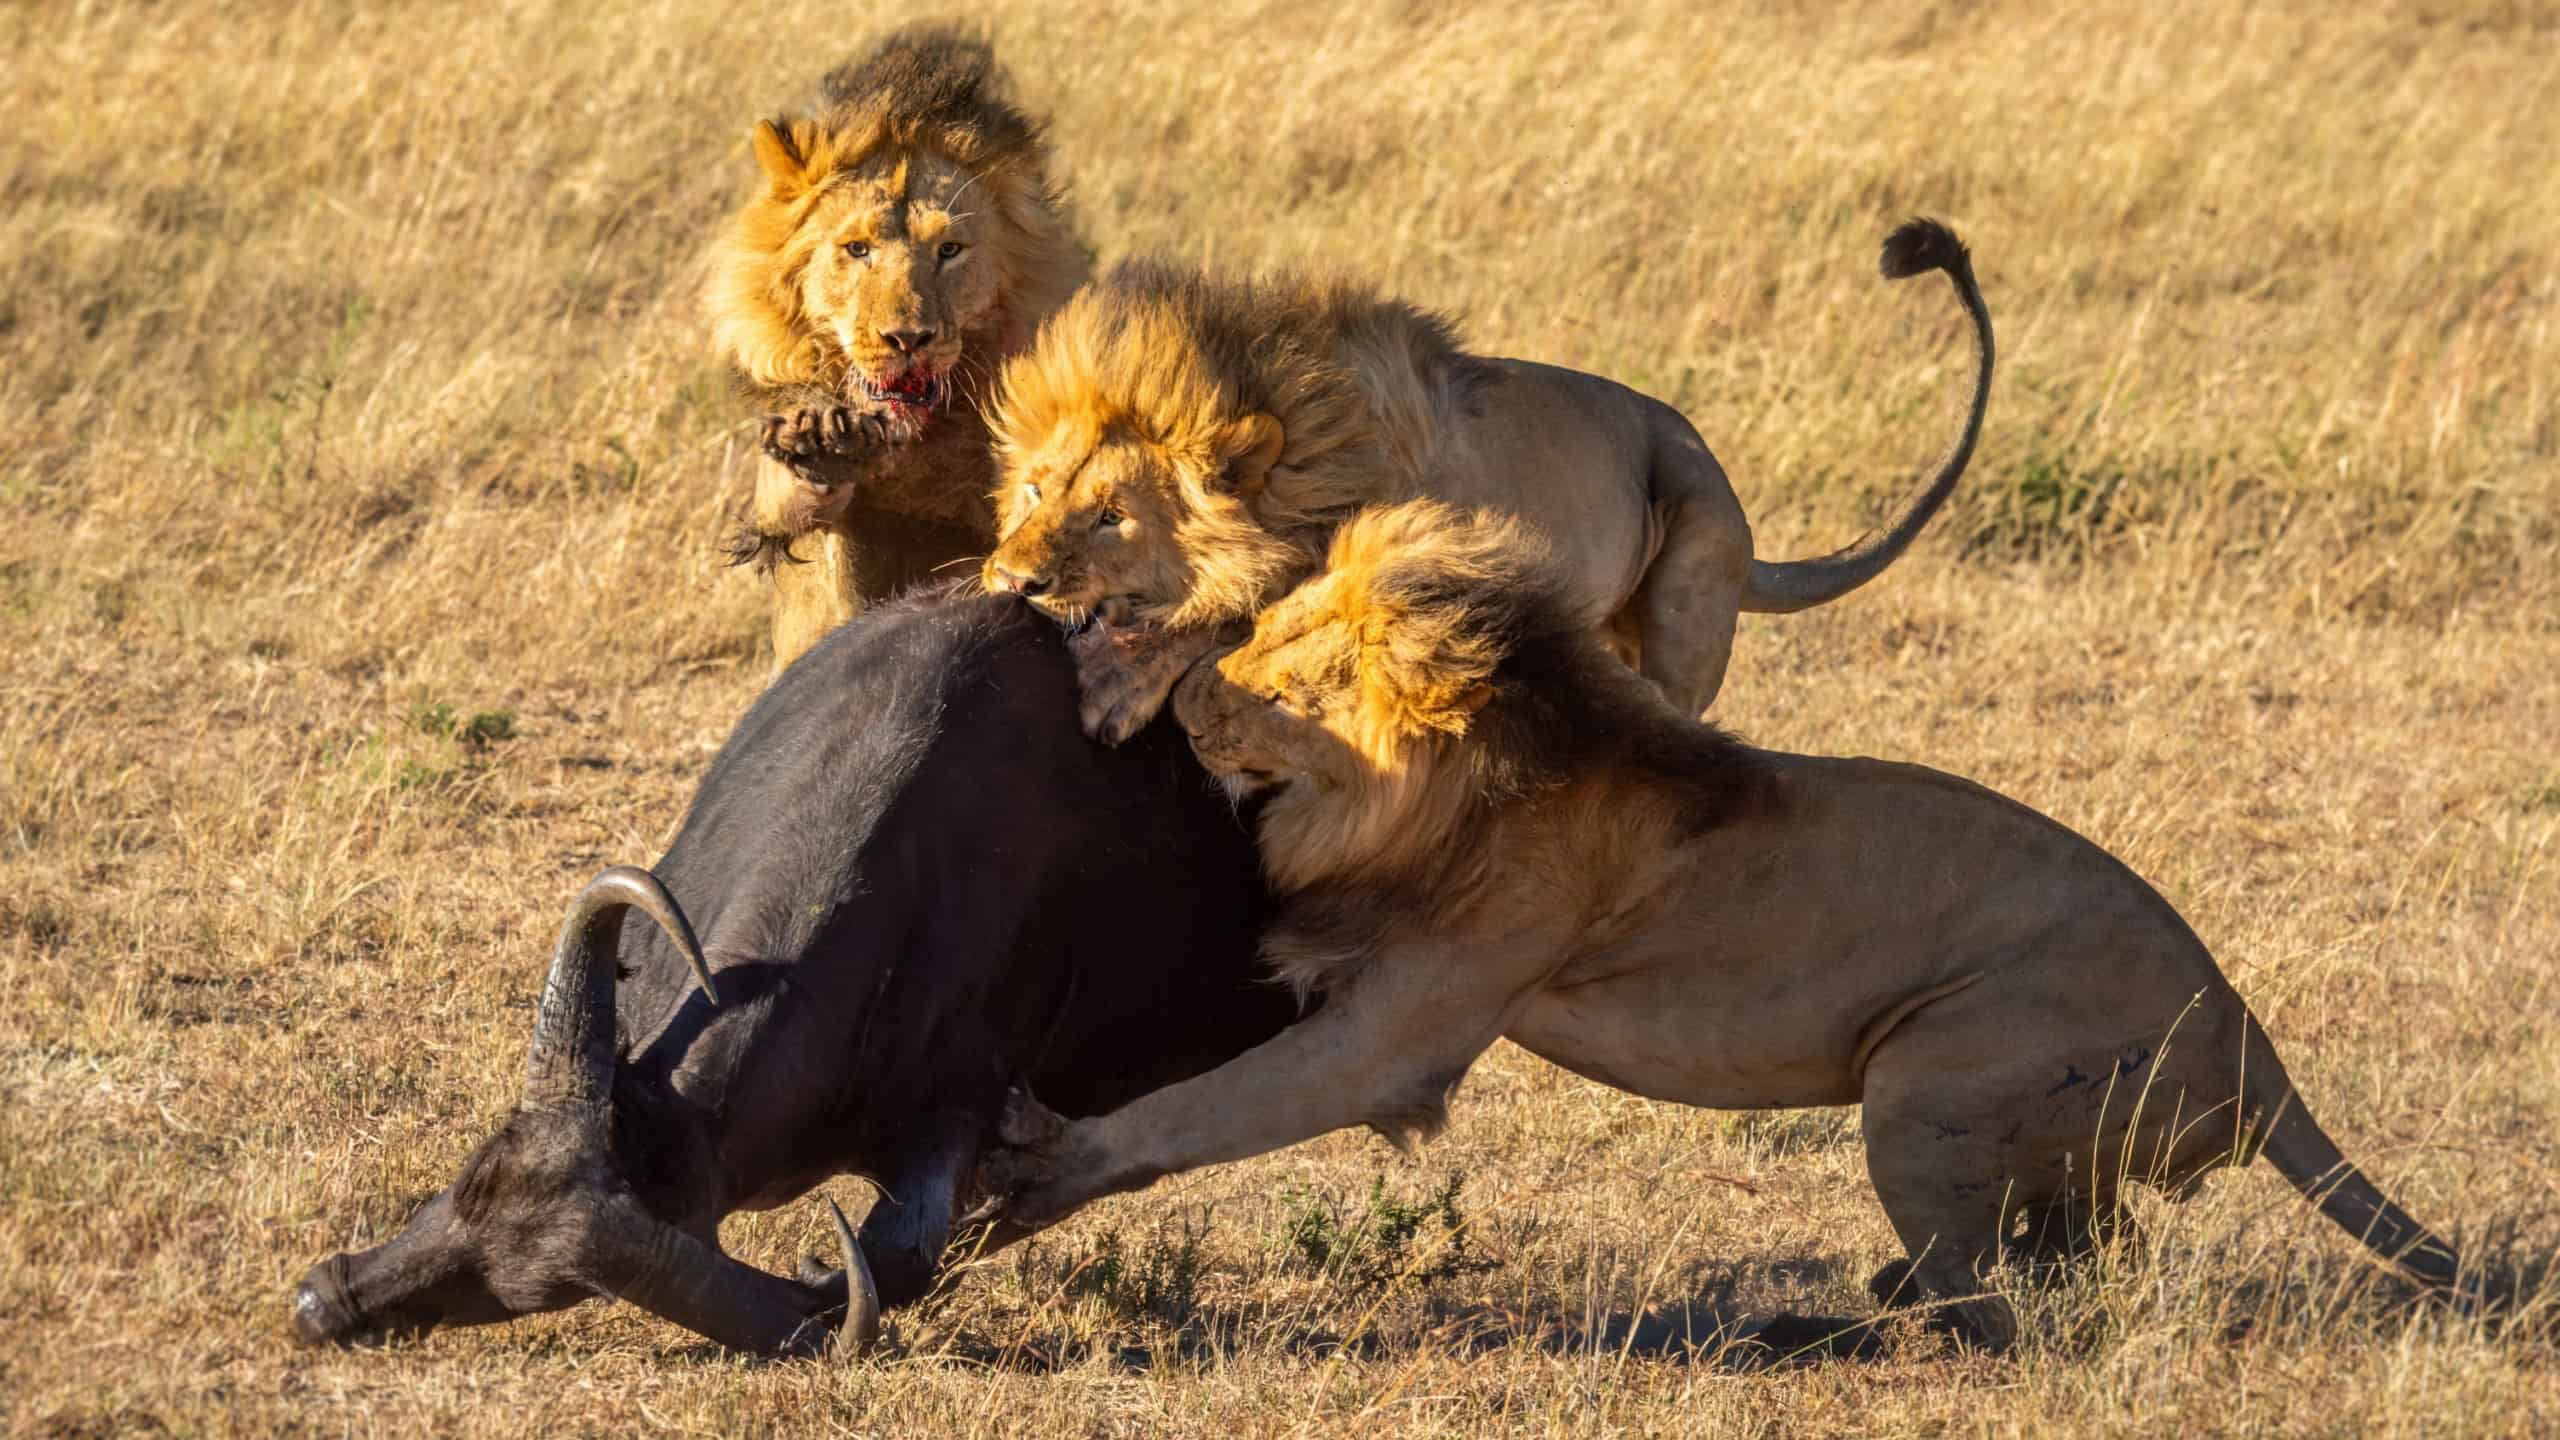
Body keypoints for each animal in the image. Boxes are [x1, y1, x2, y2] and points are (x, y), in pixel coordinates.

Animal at [709, 25, 1087, 673]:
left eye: (950, 251)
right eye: (857, 249)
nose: (908, 339)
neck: (912, 445)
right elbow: (782, 501)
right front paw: (819, 440)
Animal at [976, 501, 2470, 1355]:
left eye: (1300, 681)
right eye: (1267, 634)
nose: (1195, 702)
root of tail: (2254, 1042)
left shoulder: (1413, 1022)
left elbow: (1201, 1111)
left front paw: (1041, 1165)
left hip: (1926, 1083)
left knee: (2011, 1320)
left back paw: (1825, 1327)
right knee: (2078, 1264)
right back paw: (1870, 1293)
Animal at [980, 219, 1993, 741]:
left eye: (1112, 517)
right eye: (1034, 491)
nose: (1009, 581)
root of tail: (1744, 525)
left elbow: (1228, 619)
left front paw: (1119, 680)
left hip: (1688, 581)